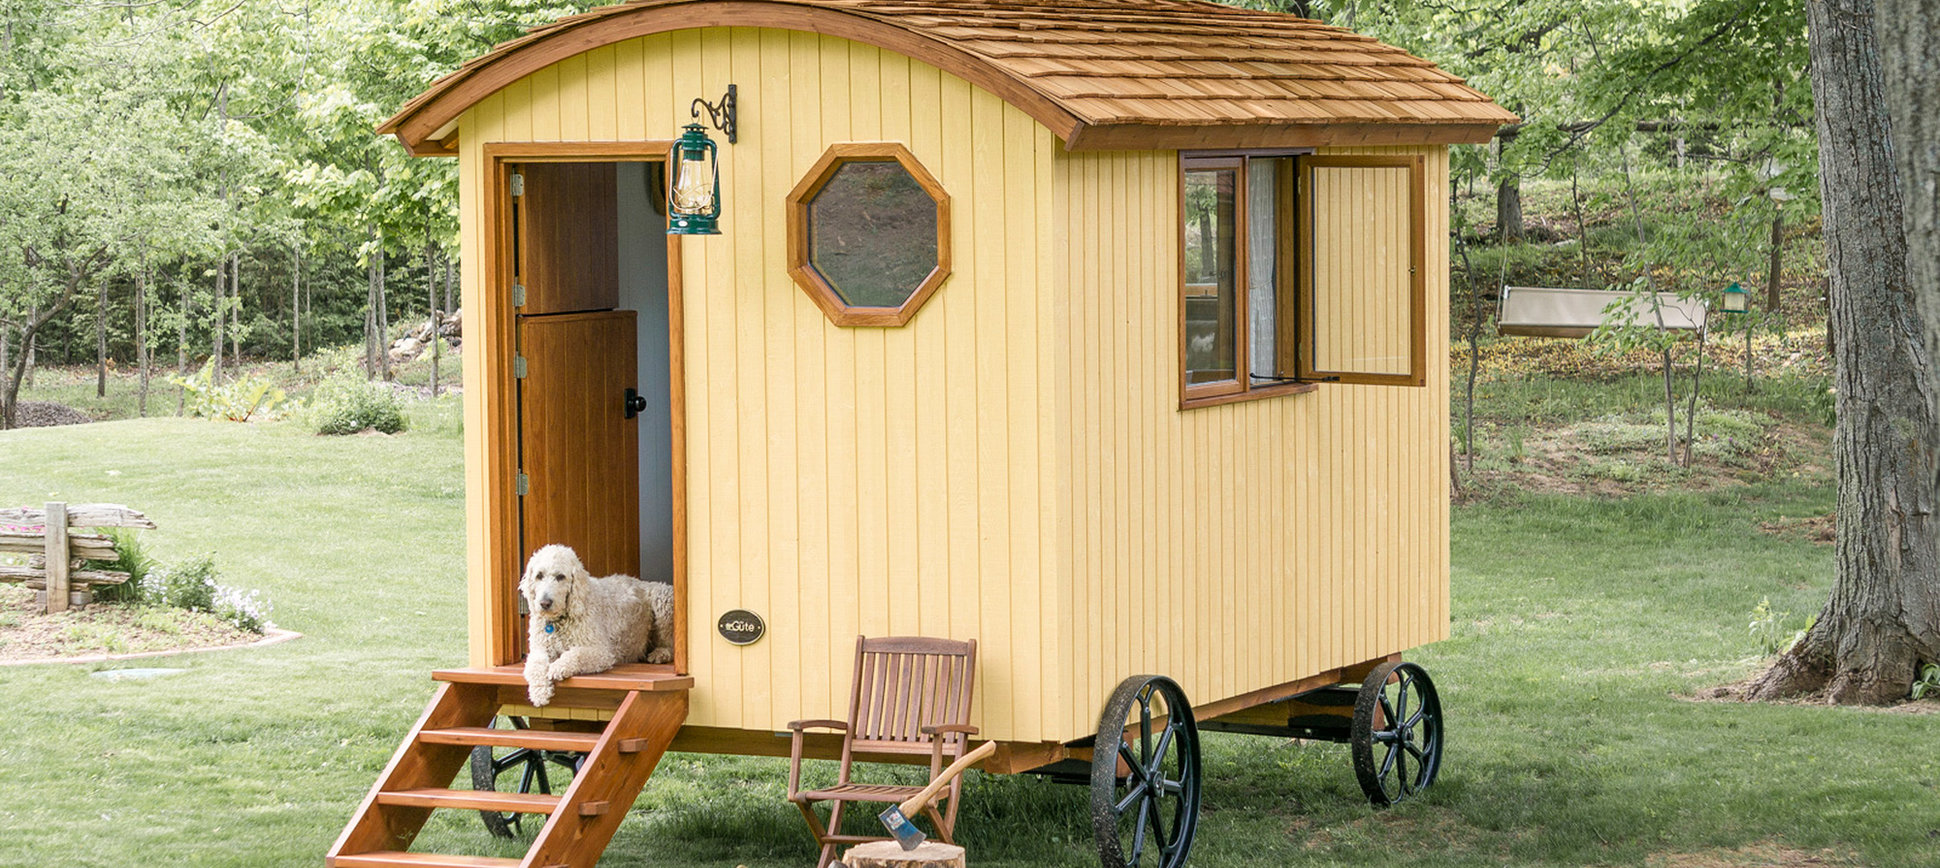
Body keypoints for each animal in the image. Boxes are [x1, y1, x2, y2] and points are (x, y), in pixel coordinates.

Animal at [523, 547, 675, 710]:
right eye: (539, 575)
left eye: (560, 577)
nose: (545, 603)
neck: (560, 621)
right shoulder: (539, 649)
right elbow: (535, 666)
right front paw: (539, 693)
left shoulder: (601, 652)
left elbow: (575, 654)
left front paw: (559, 666)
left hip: (662, 598)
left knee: (672, 645)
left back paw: (660, 654)